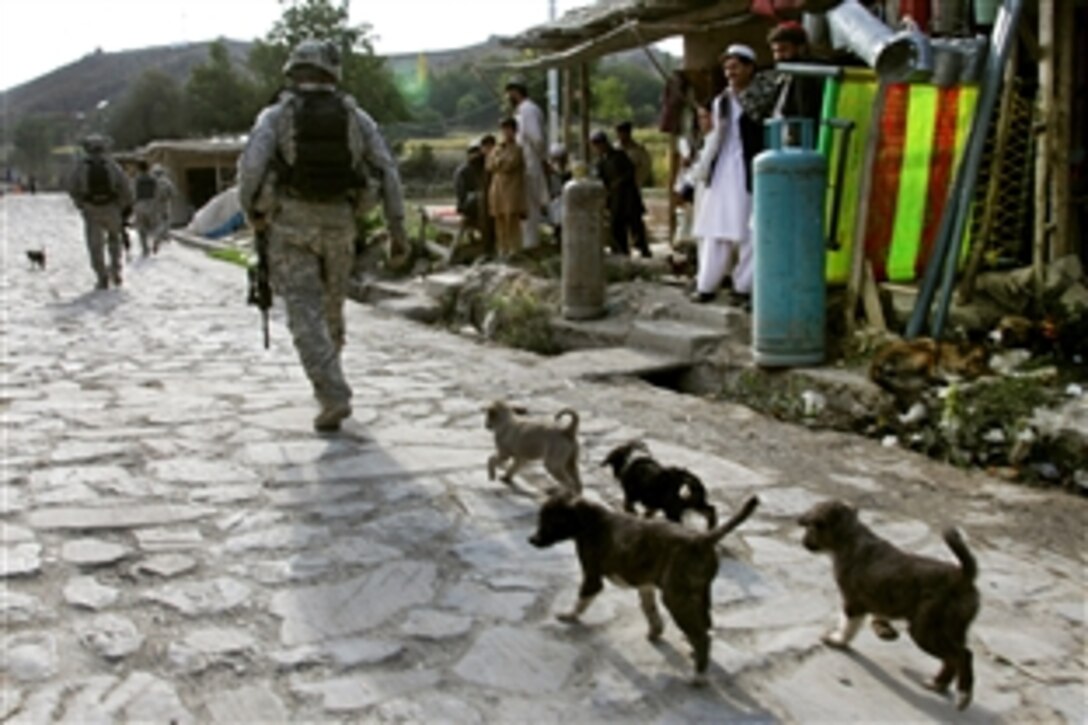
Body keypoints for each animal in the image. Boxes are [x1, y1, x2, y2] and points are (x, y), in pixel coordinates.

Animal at [526, 487, 757, 679]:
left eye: (551, 522)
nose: (531, 540)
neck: (587, 520)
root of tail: (701, 539)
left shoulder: (592, 577)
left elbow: (581, 600)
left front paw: (569, 616)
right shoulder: (646, 585)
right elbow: (650, 611)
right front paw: (656, 632)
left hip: (676, 597)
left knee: (702, 636)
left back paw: (698, 676)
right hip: (698, 595)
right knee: (705, 626)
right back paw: (695, 654)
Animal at [796, 500, 983, 709]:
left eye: (812, 526)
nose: (803, 542)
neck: (850, 536)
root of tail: (963, 576)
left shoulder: (853, 602)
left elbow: (847, 625)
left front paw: (838, 641)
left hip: (925, 630)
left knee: (963, 655)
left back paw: (963, 695)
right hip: (952, 629)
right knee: (953, 658)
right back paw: (936, 684)